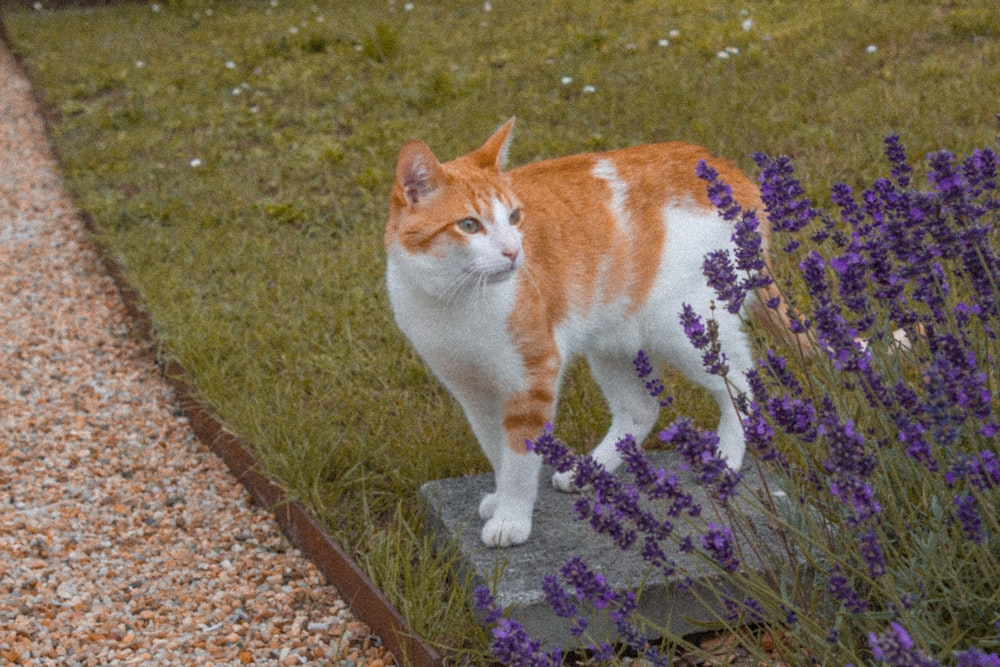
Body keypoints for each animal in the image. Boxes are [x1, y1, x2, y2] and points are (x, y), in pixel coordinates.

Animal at [382, 120, 788, 548]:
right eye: (469, 225)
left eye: (514, 217)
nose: (513, 252)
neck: (454, 300)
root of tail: (727, 170)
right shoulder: (471, 390)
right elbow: (496, 449)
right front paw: (500, 497)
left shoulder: (533, 376)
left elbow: (520, 458)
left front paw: (512, 518)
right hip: (614, 339)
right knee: (641, 408)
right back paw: (591, 472)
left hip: (680, 330)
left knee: (742, 382)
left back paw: (725, 460)